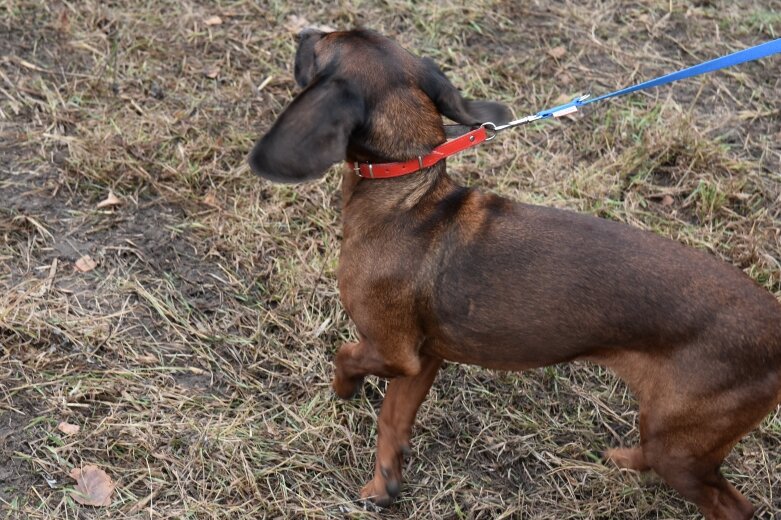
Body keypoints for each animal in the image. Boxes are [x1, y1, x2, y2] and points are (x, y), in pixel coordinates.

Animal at [248, 29, 780, 520]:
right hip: (670, 434)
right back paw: (623, 458)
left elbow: (344, 354)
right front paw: (383, 487)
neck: (407, 198)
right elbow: (392, 425)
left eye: (323, 44)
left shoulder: (389, 351)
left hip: (682, 449)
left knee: (732, 506)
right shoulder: (419, 364)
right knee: (655, 456)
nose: (302, 31)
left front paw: (343, 390)